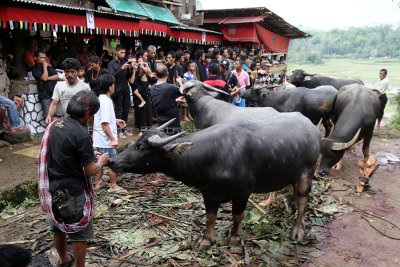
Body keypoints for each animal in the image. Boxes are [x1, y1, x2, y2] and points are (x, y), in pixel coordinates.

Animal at [109, 117, 322, 251]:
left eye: (141, 147)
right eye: (137, 142)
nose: (112, 161)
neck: (214, 156)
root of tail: (312, 128)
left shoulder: (242, 192)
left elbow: (237, 216)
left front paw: (234, 238)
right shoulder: (208, 193)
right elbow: (210, 217)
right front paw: (206, 240)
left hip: (307, 173)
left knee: (303, 200)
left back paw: (297, 230)